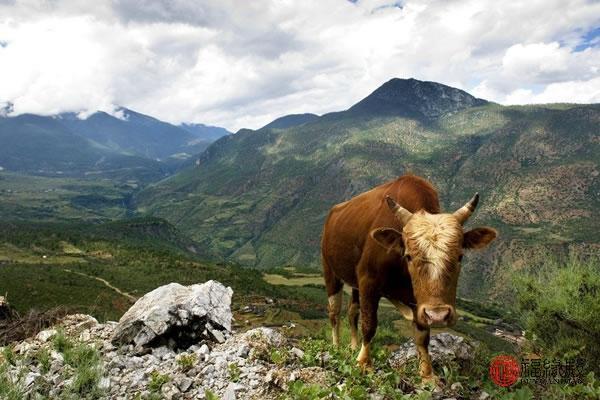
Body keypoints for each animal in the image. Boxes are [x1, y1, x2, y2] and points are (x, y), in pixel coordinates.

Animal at [324, 174, 496, 382]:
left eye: (460, 256)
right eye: (409, 256)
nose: (438, 316)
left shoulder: (419, 301)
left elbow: (422, 335)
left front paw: (427, 374)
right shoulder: (368, 281)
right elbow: (370, 324)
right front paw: (364, 364)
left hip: (355, 284)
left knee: (352, 311)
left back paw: (353, 346)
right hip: (330, 272)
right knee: (334, 312)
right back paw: (336, 346)